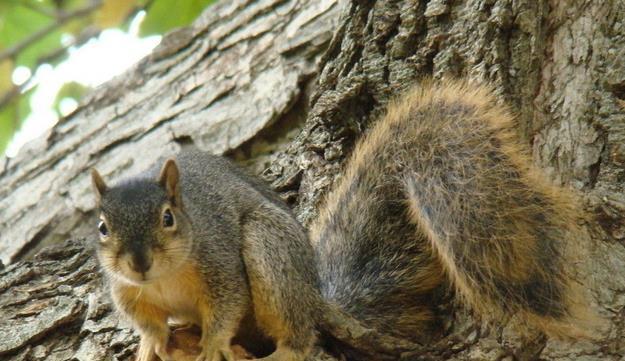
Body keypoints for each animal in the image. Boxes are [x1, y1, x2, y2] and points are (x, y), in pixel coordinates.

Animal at [90, 79, 592, 360]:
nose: (138, 263)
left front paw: (213, 345)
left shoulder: (220, 262)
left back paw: (282, 353)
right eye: (102, 227)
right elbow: (147, 321)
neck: (165, 279)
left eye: (168, 218)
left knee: (298, 332)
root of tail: (317, 295)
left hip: (270, 253)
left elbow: (227, 305)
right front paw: (150, 344)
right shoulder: (128, 292)